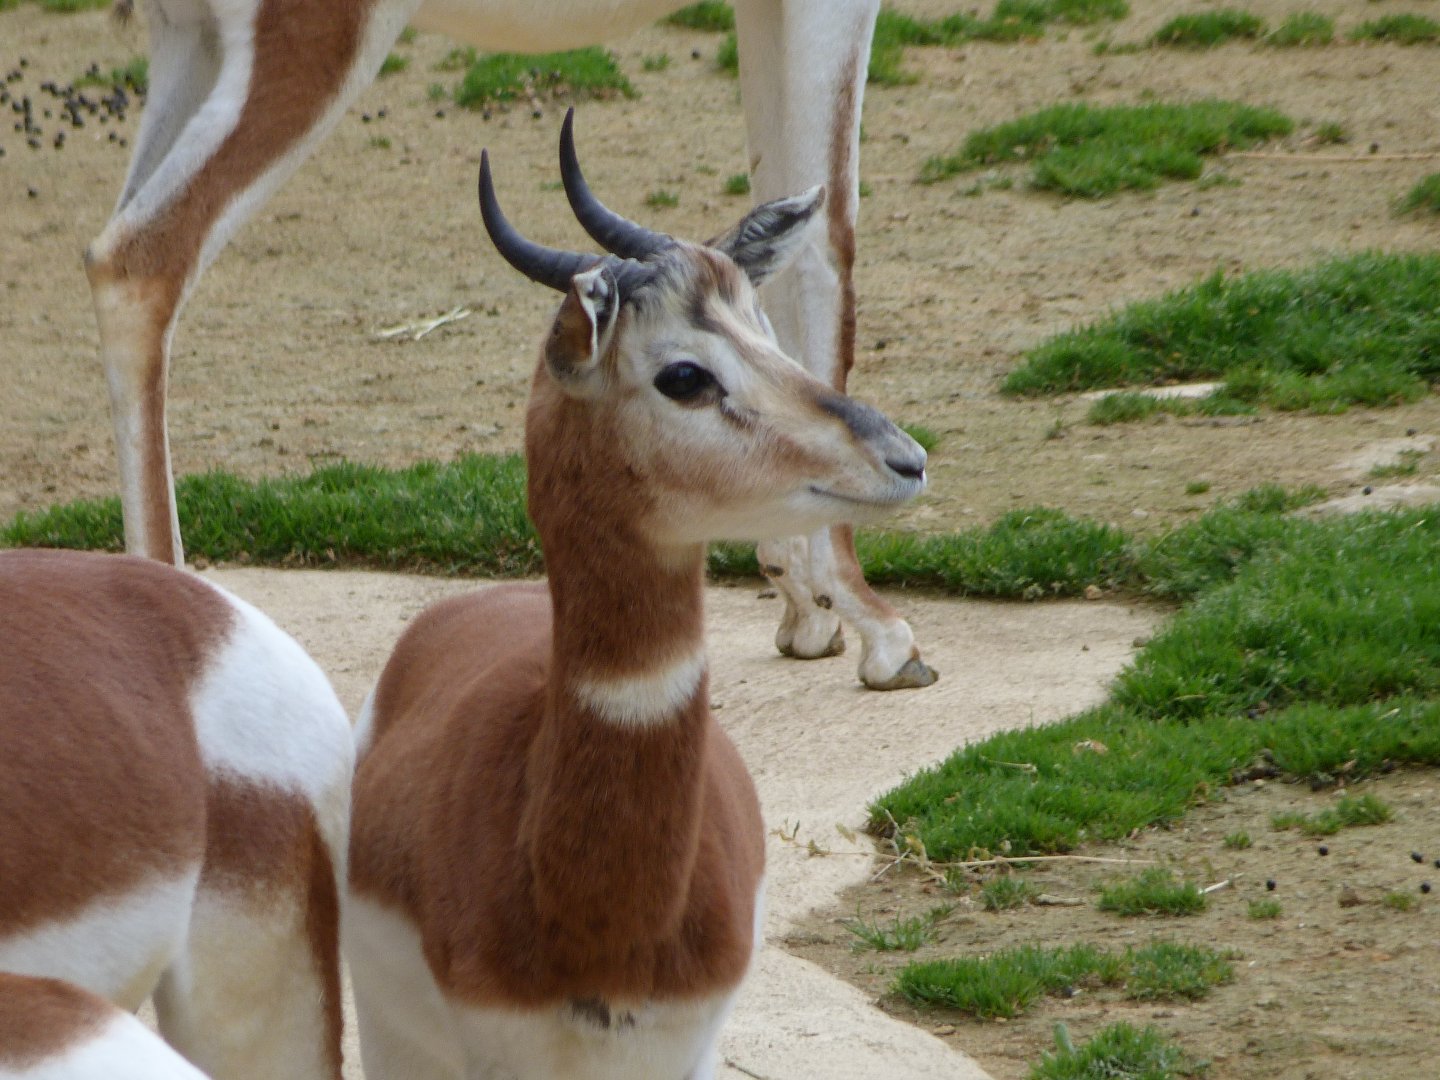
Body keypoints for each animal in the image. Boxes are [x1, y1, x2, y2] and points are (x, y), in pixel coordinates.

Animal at [87, 0, 937, 691]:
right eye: (683, 375)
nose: (911, 460)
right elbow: (830, 243)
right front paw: (883, 632)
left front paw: (806, 609)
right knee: (141, 261)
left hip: (189, 42)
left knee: (105, 254)